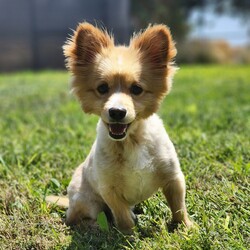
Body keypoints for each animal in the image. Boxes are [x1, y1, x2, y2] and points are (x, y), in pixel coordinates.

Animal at [46, 22, 191, 234]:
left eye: (137, 89)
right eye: (102, 88)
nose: (116, 112)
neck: (131, 141)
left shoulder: (174, 178)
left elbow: (179, 208)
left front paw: (186, 228)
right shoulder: (109, 190)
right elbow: (122, 217)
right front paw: (129, 235)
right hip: (86, 201)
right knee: (75, 219)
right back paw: (96, 226)